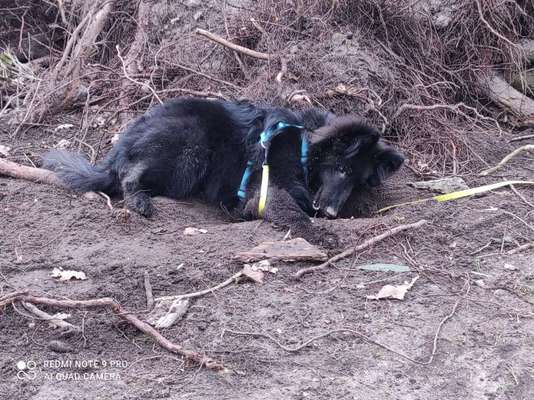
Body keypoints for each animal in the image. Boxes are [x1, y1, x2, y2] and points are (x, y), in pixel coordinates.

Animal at [45, 97, 330, 242]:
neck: (303, 148)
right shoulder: (267, 187)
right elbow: (291, 209)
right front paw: (318, 234)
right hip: (191, 139)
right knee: (129, 174)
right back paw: (139, 201)